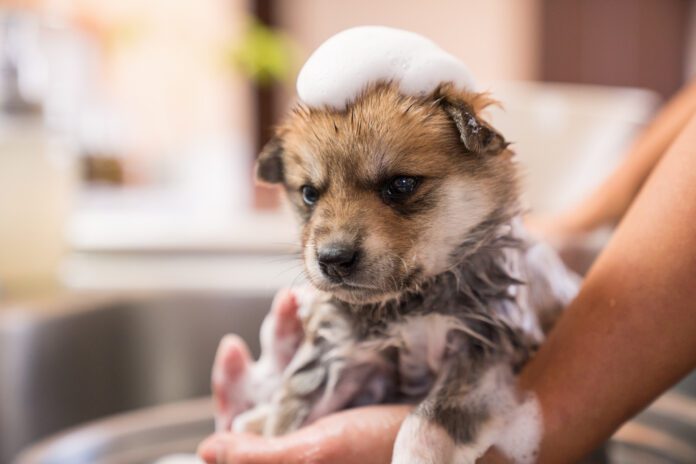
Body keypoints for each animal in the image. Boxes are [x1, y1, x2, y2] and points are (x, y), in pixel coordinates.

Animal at [227, 81, 576, 462]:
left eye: (401, 184)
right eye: (309, 193)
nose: (332, 259)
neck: (412, 304)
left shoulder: (485, 350)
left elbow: (425, 421)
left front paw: (415, 454)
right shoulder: (342, 352)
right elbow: (291, 412)